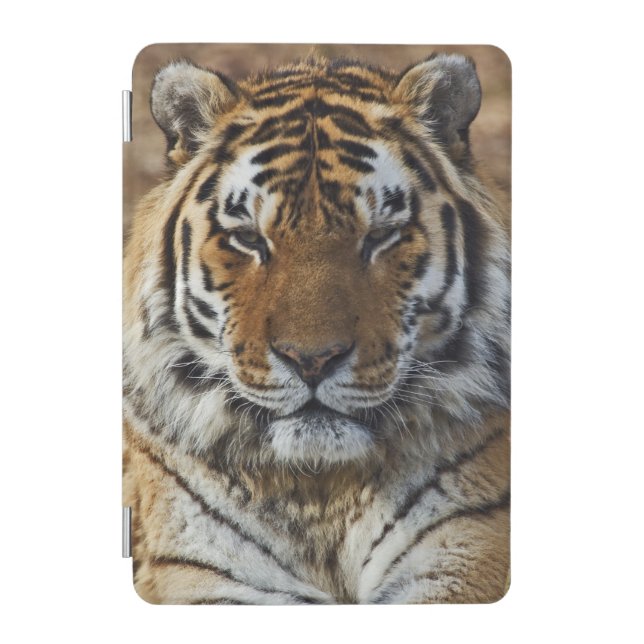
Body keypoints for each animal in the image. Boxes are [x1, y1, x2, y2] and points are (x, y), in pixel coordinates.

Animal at [123, 52, 511, 605]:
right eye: (248, 239)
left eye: (380, 235)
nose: (312, 360)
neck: (320, 493)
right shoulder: (203, 570)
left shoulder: (462, 550)